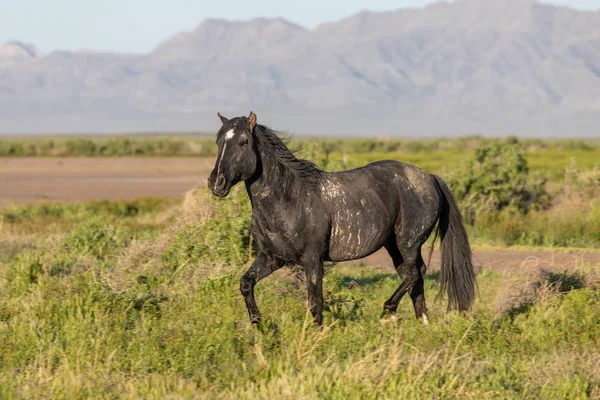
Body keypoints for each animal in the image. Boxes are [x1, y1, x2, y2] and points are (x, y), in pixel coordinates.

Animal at [209, 111, 476, 324]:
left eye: (243, 142)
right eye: (219, 141)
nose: (216, 183)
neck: (288, 200)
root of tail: (429, 177)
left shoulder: (312, 259)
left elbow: (315, 303)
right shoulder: (272, 258)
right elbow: (246, 283)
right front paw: (258, 322)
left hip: (408, 242)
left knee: (415, 273)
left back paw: (387, 313)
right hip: (394, 246)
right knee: (413, 278)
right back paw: (421, 324)